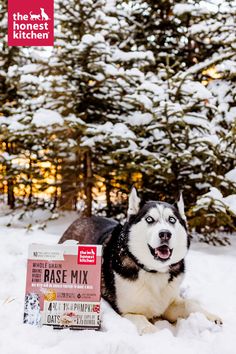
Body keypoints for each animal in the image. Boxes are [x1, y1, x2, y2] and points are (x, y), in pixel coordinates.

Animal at [59, 188, 221, 334]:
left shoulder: (170, 303)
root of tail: (82, 219)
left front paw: (211, 317)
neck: (153, 271)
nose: (165, 234)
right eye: (149, 219)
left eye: (172, 220)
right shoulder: (128, 312)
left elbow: (190, 304)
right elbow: (145, 324)